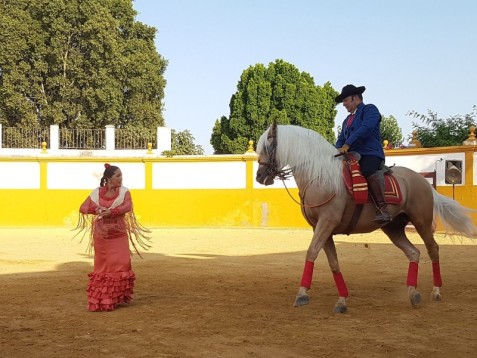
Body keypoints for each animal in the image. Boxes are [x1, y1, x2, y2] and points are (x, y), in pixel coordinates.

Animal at [255, 120, 476, 314]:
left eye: (268, 146)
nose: (259, 176)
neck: (320, 176)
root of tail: (422, 181)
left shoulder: (326, 223)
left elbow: (311, 252)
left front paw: (302, 294)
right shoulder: (321, 228)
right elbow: (333, 262)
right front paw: (341, 300)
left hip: (421, 221)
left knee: (433, 250)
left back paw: (436, 291)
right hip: (393, 228)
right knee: (414, 253)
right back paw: (413, 293)